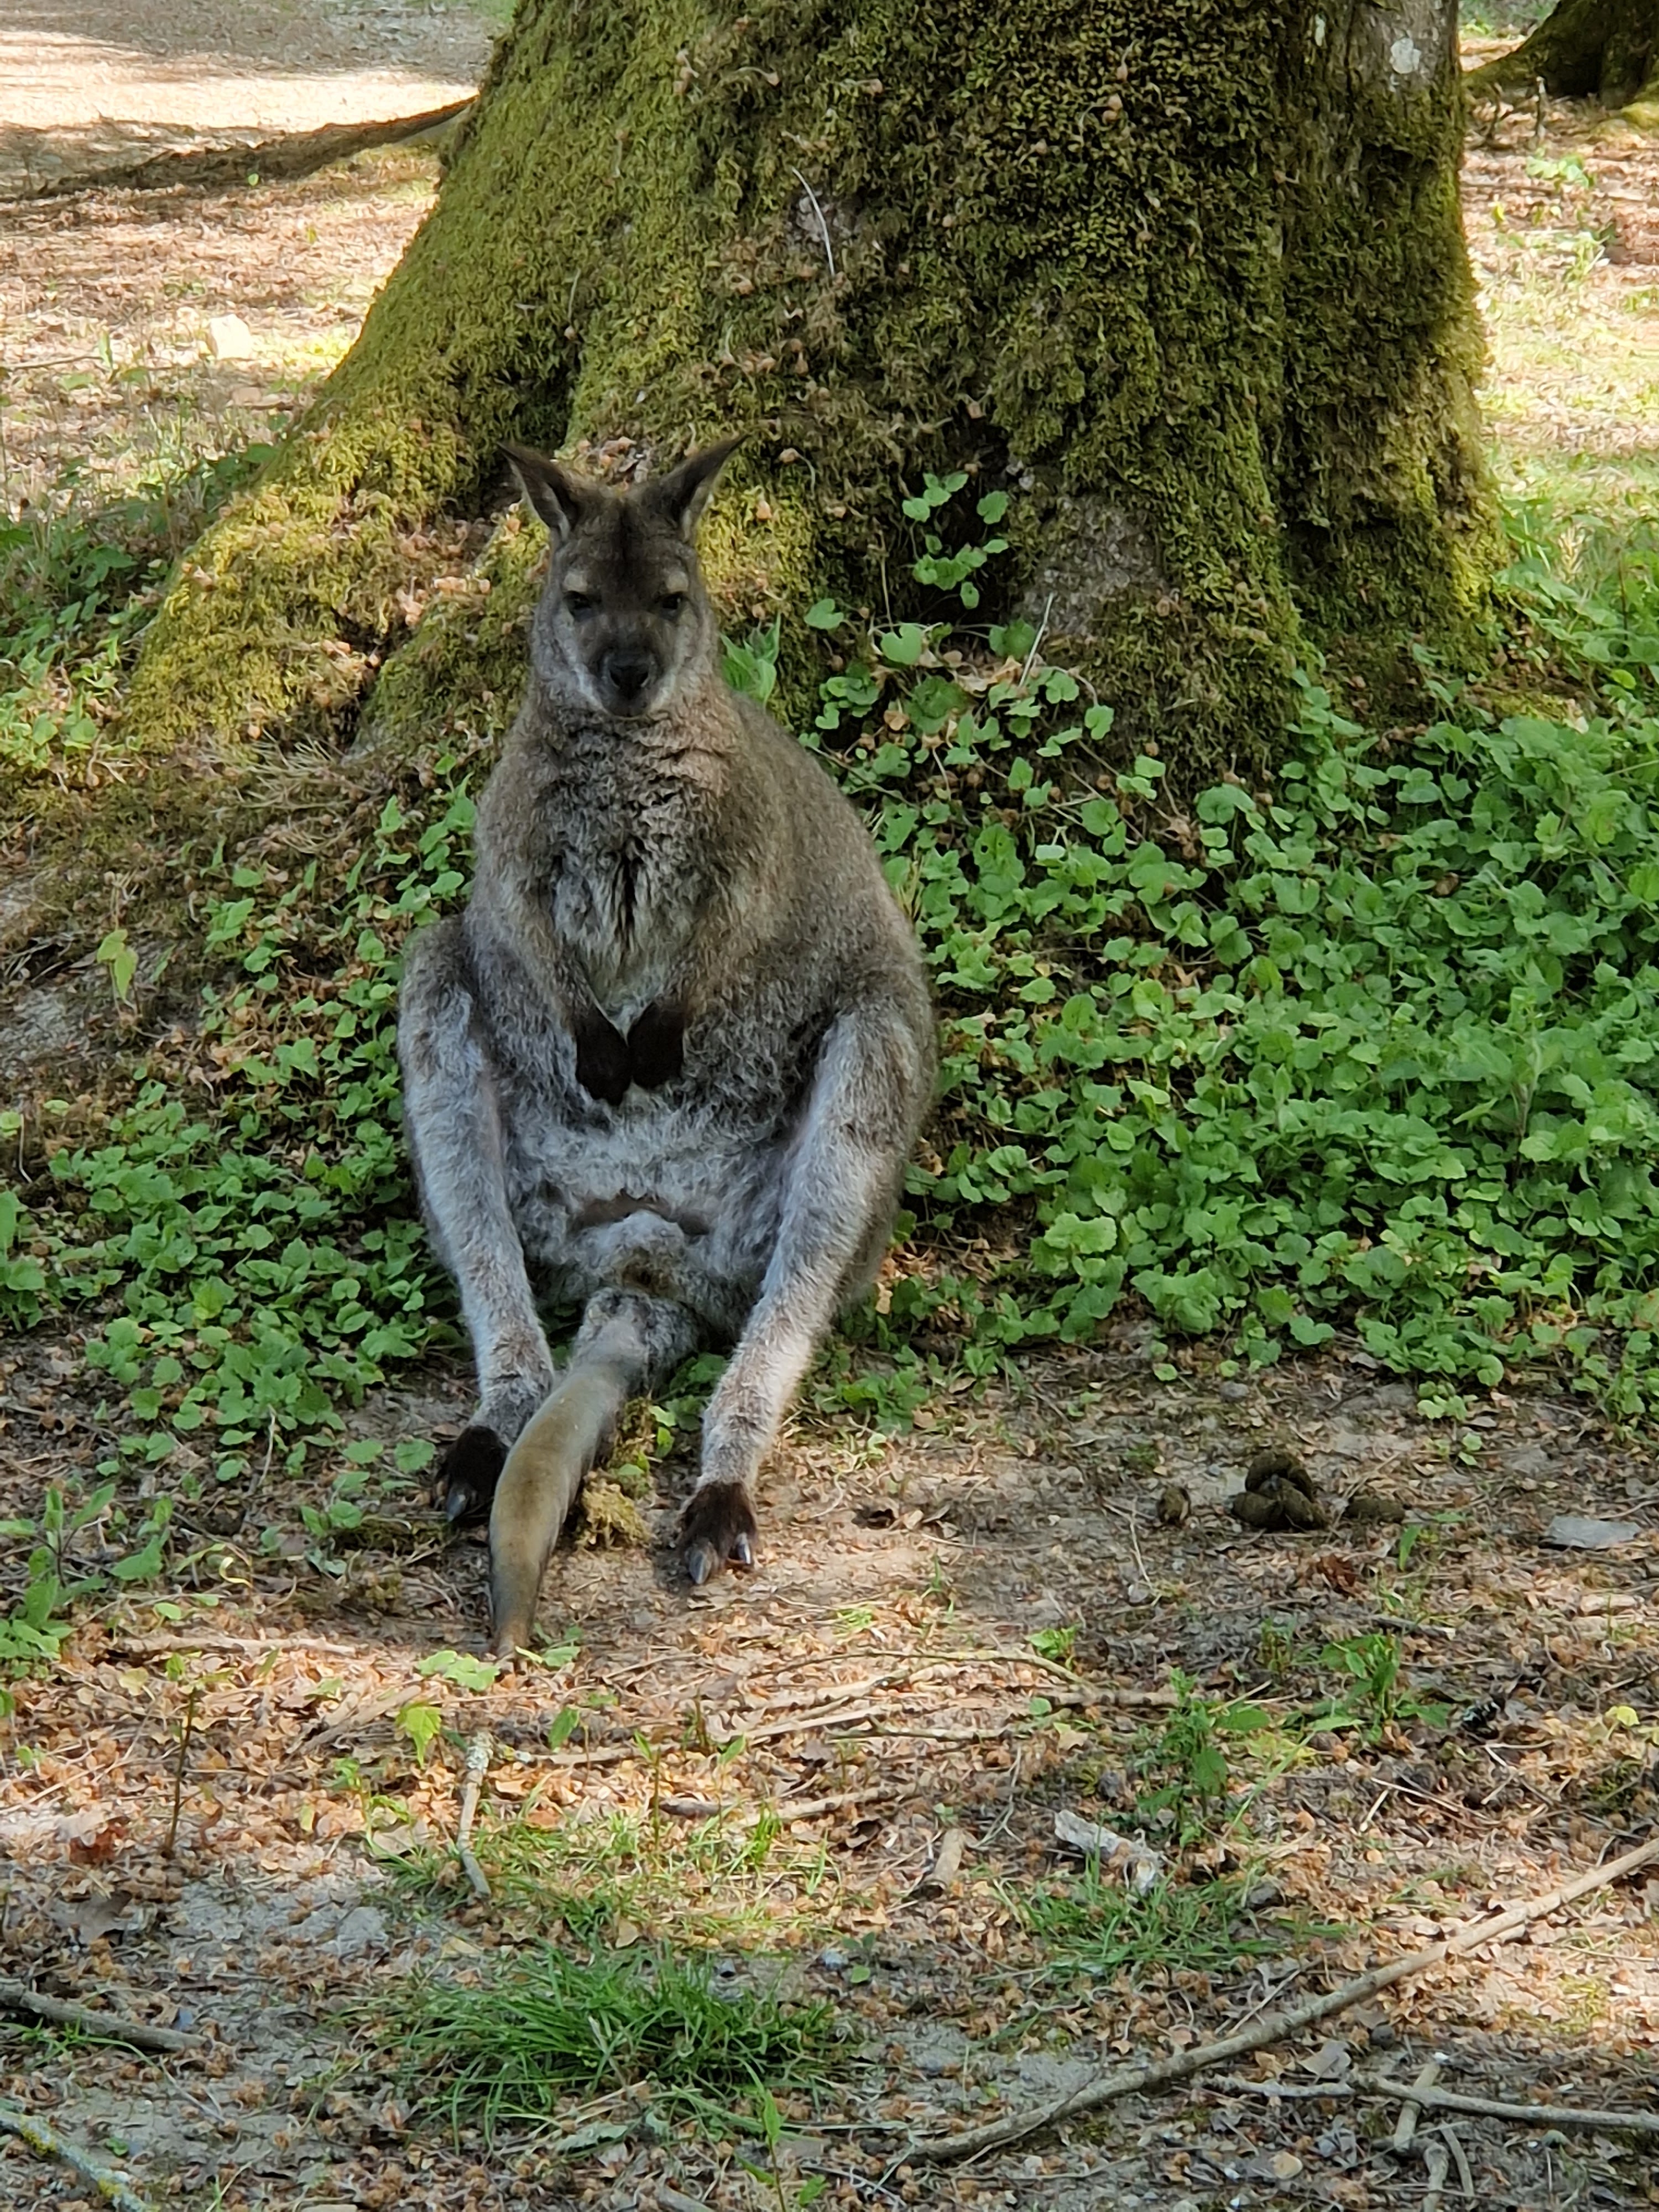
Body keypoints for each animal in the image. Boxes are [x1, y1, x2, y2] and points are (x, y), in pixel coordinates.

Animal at [396, 437, 935, 1656]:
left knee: (788, 1313)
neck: (627, 750)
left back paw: (719, 1496)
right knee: (494, 1273)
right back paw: (482, 1445)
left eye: (674, 600)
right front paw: (609, 1055)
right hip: (440, 981)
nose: (629, 672)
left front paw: (652, 1047)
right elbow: (539, 941)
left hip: (870, 1052)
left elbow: (715, 955)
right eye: (581, 600)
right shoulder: (510, 854)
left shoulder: (748, 859)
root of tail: (642, 1256)